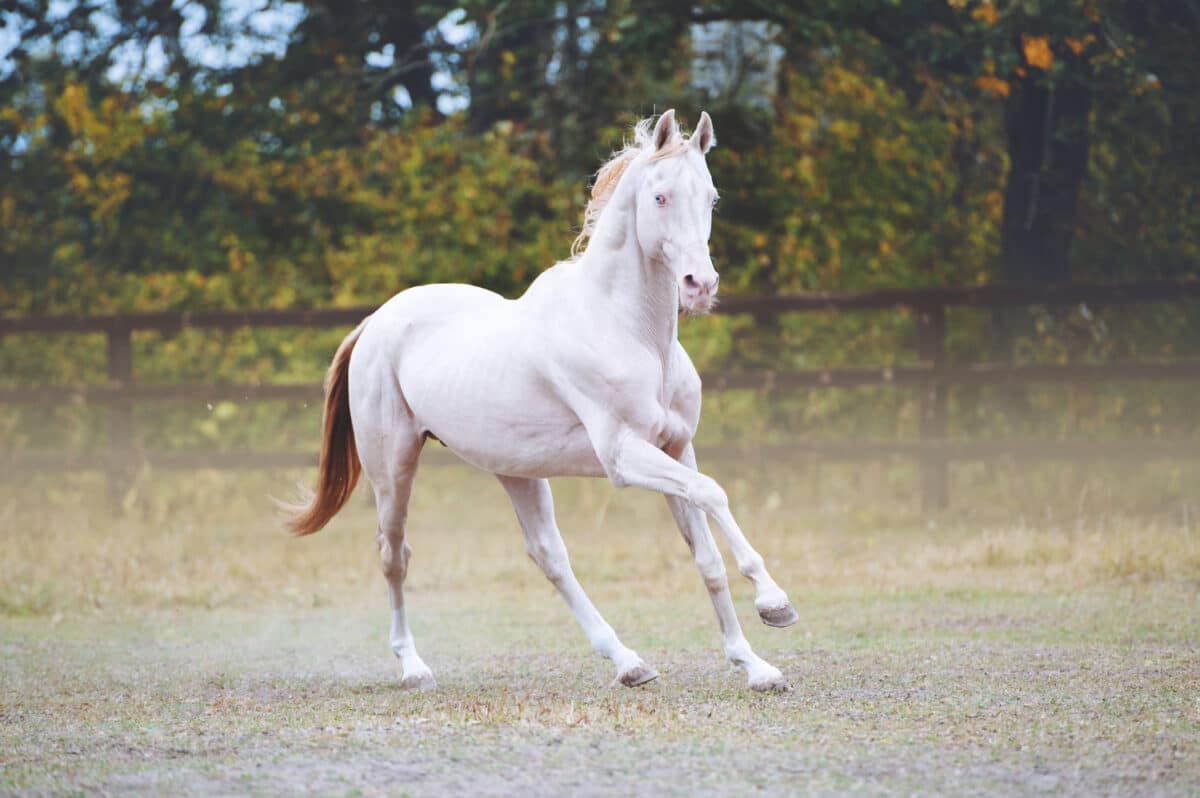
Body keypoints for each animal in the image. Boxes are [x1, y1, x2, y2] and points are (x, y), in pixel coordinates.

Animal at [283, 112, 796, 691]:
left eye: (711, 198)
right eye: (660, 197)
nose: (700, 285)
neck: (629, 332)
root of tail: (375, 322)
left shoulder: (676, 447)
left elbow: (706, 556)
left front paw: (755, 666)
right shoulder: (624, 457)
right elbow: (713, 493)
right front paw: (775, 603)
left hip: (516, 470)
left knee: (549, 556)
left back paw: (629, 663)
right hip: (393, 468)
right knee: (395, 555)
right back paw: (414, 668)